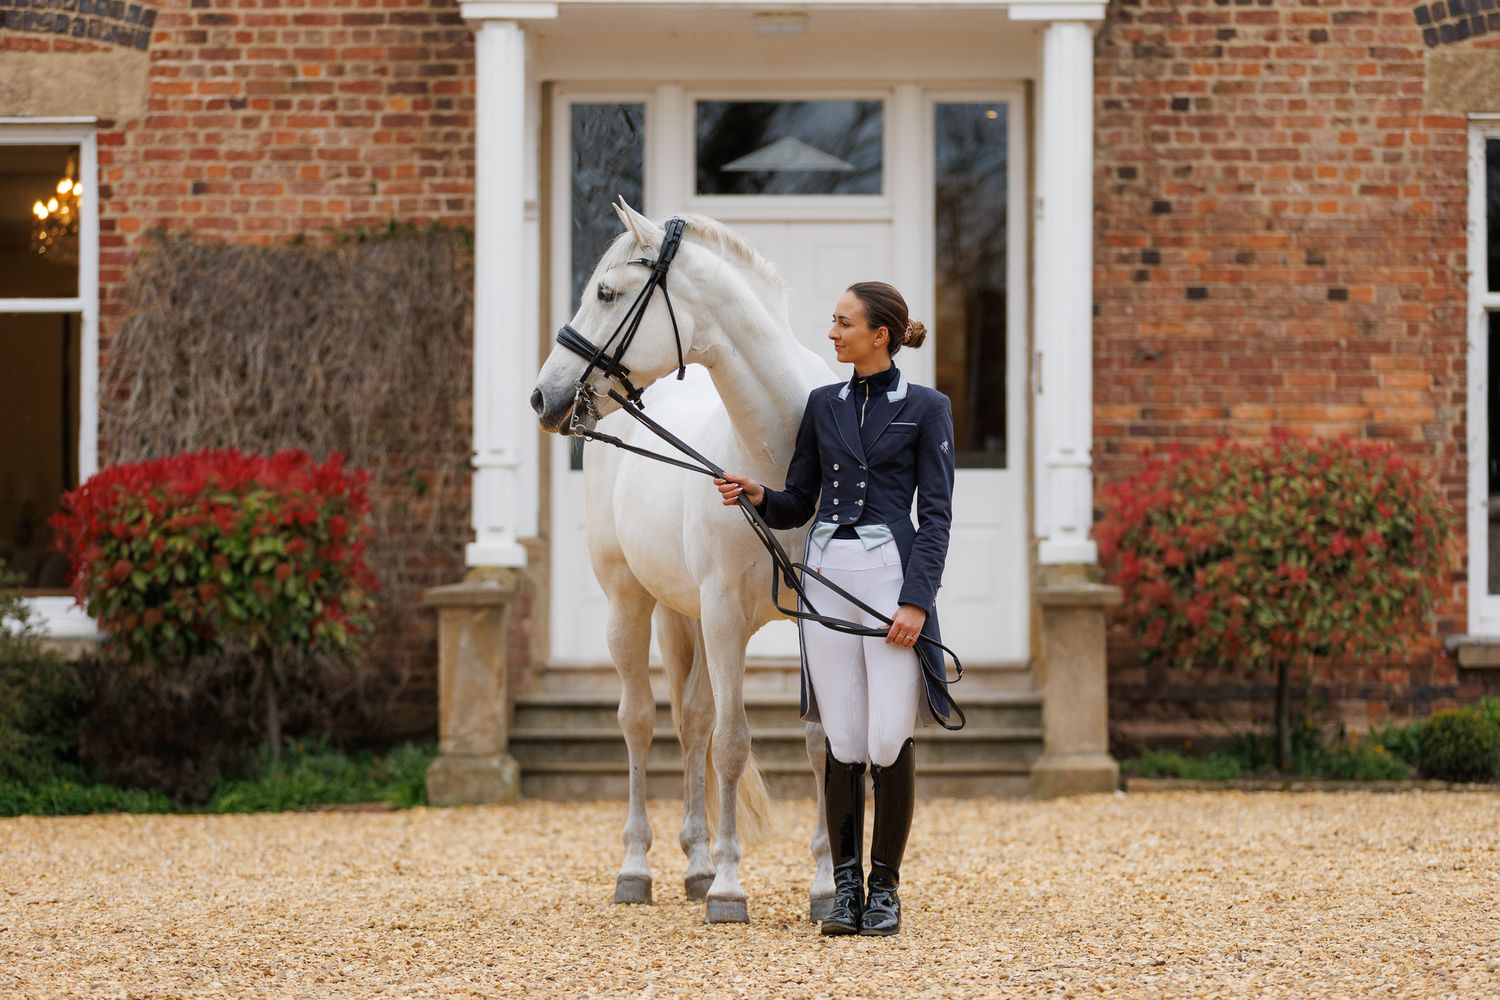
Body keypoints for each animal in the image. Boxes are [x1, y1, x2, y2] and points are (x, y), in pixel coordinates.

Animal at [531, 202, 839, 924]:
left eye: (606, 293)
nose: (544, 396)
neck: (780, 456)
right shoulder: (724, 616)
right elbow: (731, 743)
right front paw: (729, 889)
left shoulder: (810, 620)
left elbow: (816, 742)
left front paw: (824, 887)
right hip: (631, 607)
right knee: (642, 722)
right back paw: (639, 870)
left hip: (686, 614)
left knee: (692, 719)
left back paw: (695, 864)